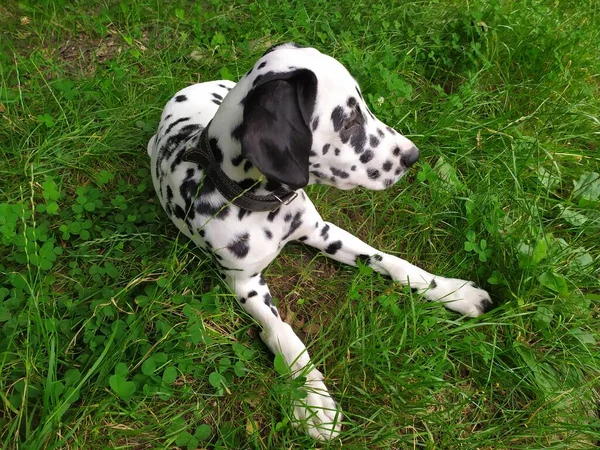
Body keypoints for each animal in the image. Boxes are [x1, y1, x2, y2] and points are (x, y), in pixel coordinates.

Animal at [146, 44, 492, 442]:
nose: (412, 156)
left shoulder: (323, 232)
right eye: (349, 121)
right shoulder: (244, 284)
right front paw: (313, 400)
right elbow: (283, 333)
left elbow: (392, 262)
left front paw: (454, 291)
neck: (261, 206)